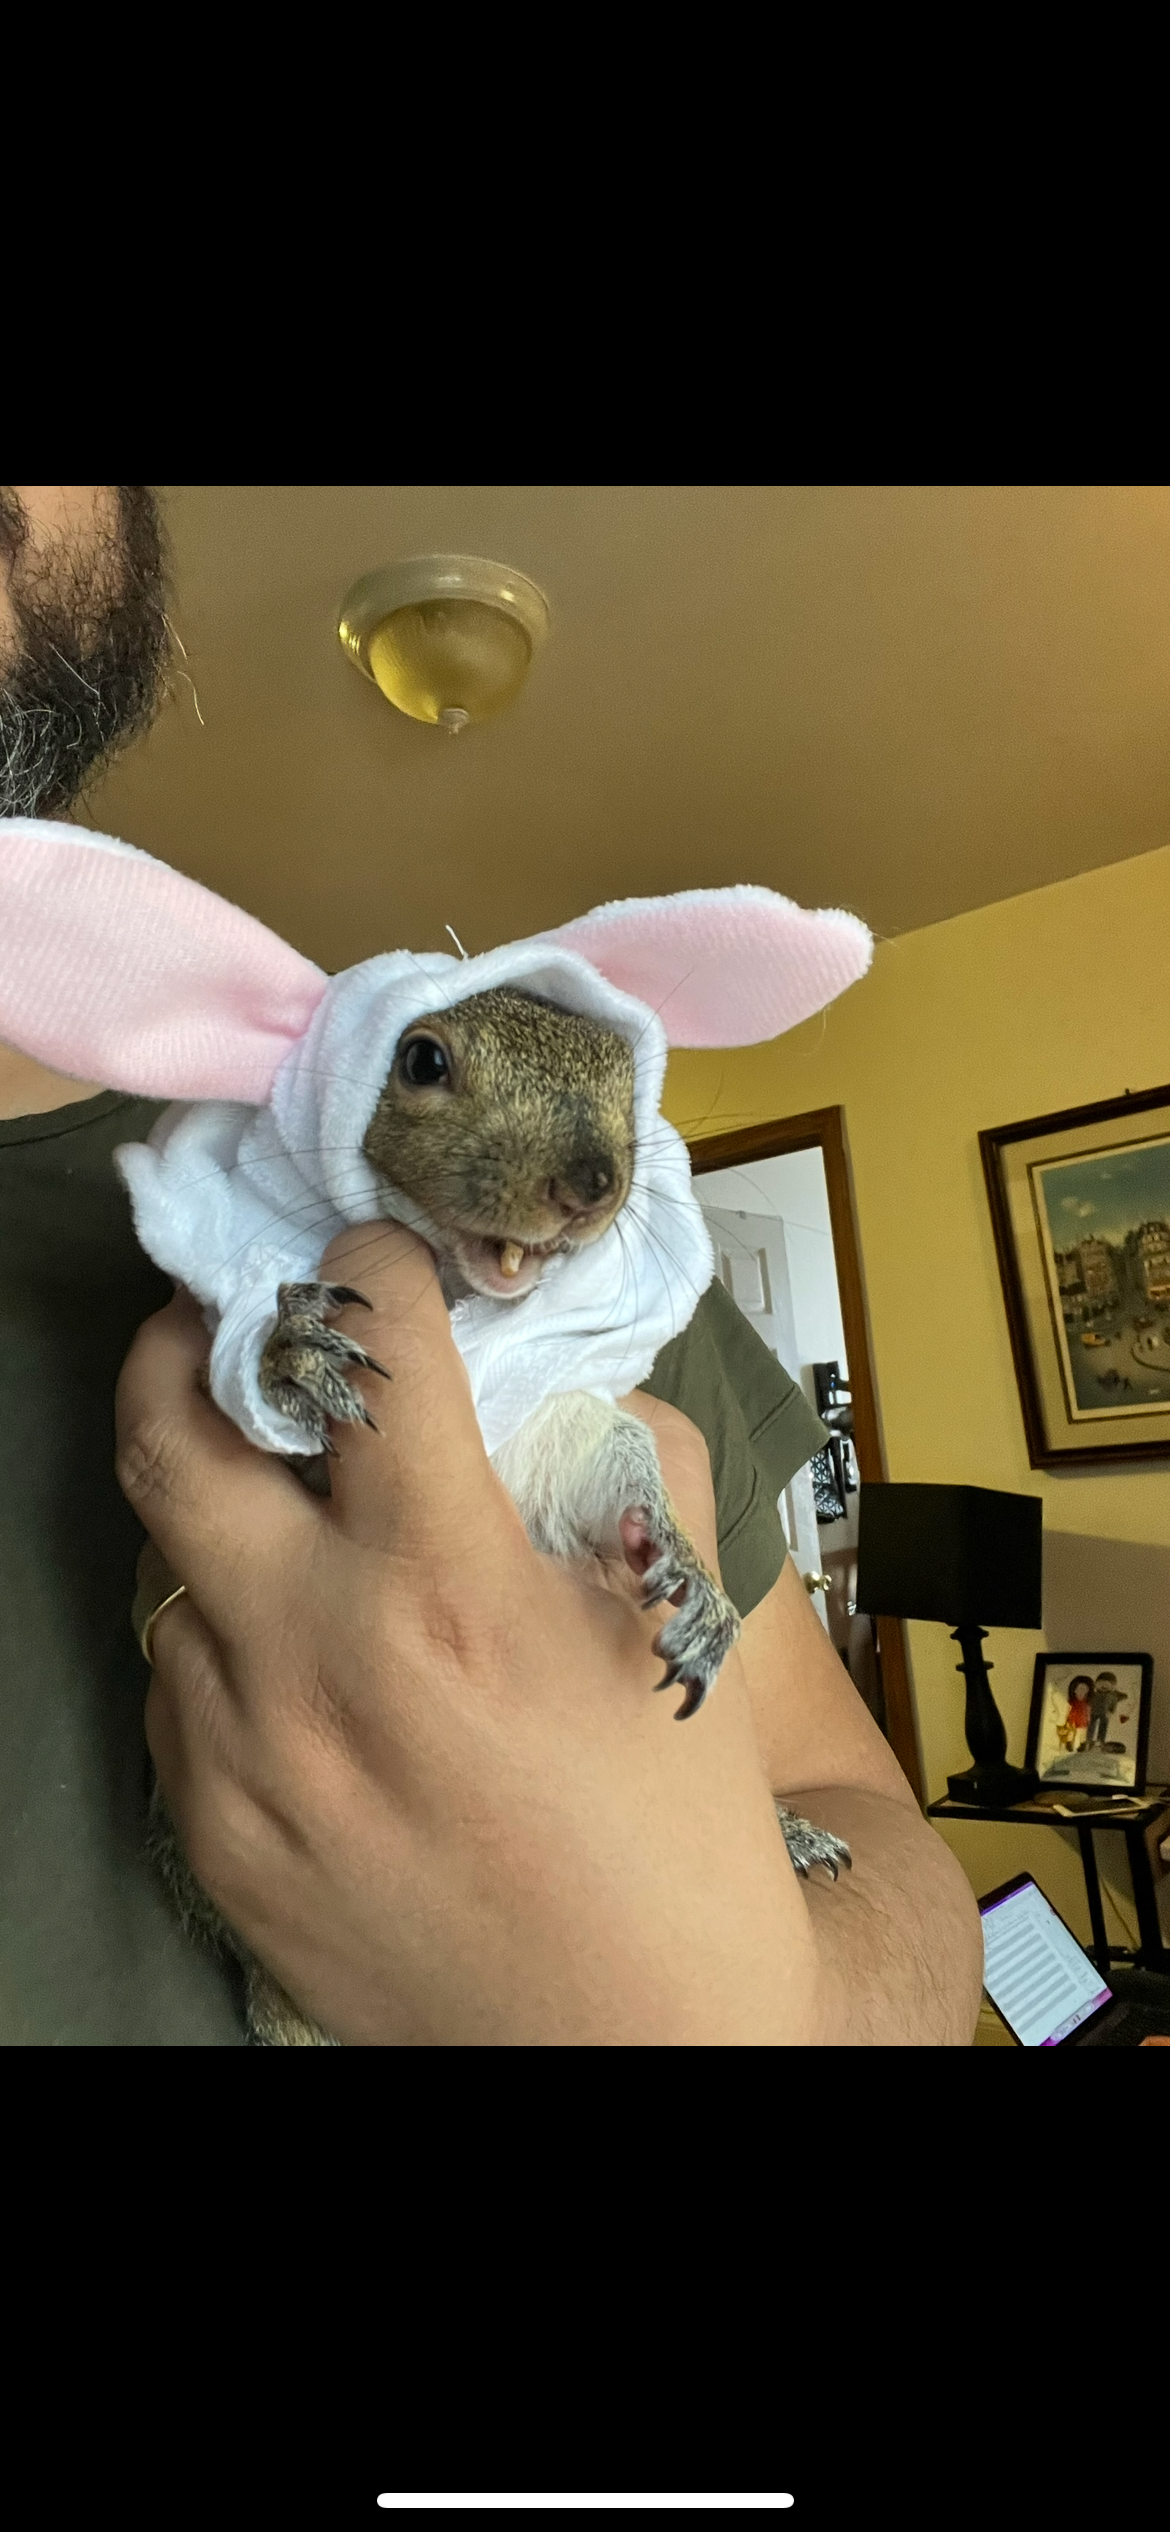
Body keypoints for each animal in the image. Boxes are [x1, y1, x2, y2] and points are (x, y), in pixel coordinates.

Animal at [148, 983, 851, 2045]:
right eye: (422, 1061)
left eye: (627, 1083)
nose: (592, 1184)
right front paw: (286, 1352)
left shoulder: (555, 1420)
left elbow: (612, 1470)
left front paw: (689, 1569)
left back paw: (790, 1830)